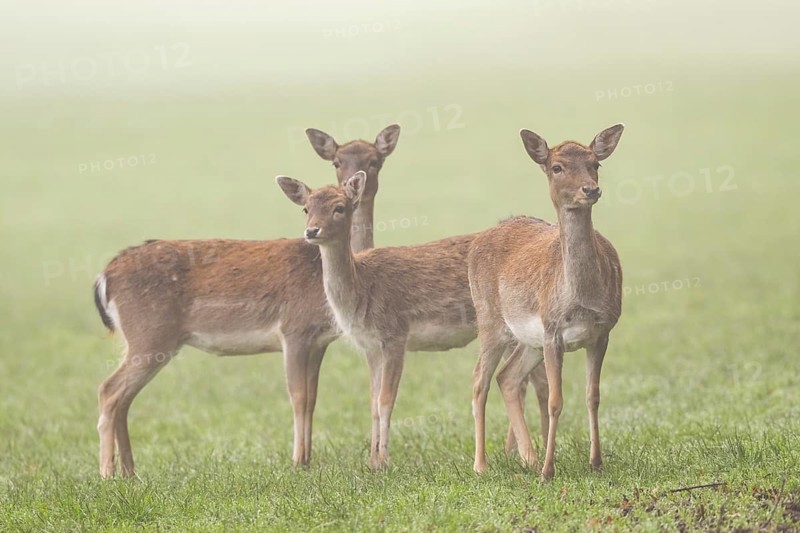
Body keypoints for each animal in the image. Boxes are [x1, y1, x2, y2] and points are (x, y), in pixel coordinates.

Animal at [92, 125, 401, 478]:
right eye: (337, 161)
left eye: (375, 160)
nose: (352, 184)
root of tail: (105, 276)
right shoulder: (293, 329)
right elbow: (297, 396)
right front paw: (297, 462)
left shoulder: (319, 339)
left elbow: (312, 398)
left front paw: (308, 460)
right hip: (149, 333)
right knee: (109, 391)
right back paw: (107, 473)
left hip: (142, 339)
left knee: (123, 397)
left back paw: (129, 472)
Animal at [469, 124, 625, 481]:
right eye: (557, 167)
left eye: (595, 163)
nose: (590, 189)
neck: (579, 298)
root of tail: (476, 241)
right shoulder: (553, 330)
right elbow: (555, 401)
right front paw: (548, 471)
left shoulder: (602, 331)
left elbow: (593, 396)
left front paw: (596, 462)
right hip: (490, 321)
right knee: (480, 380)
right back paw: (482, 465)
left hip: (529, 340)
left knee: (508, 377)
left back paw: (528, 458)